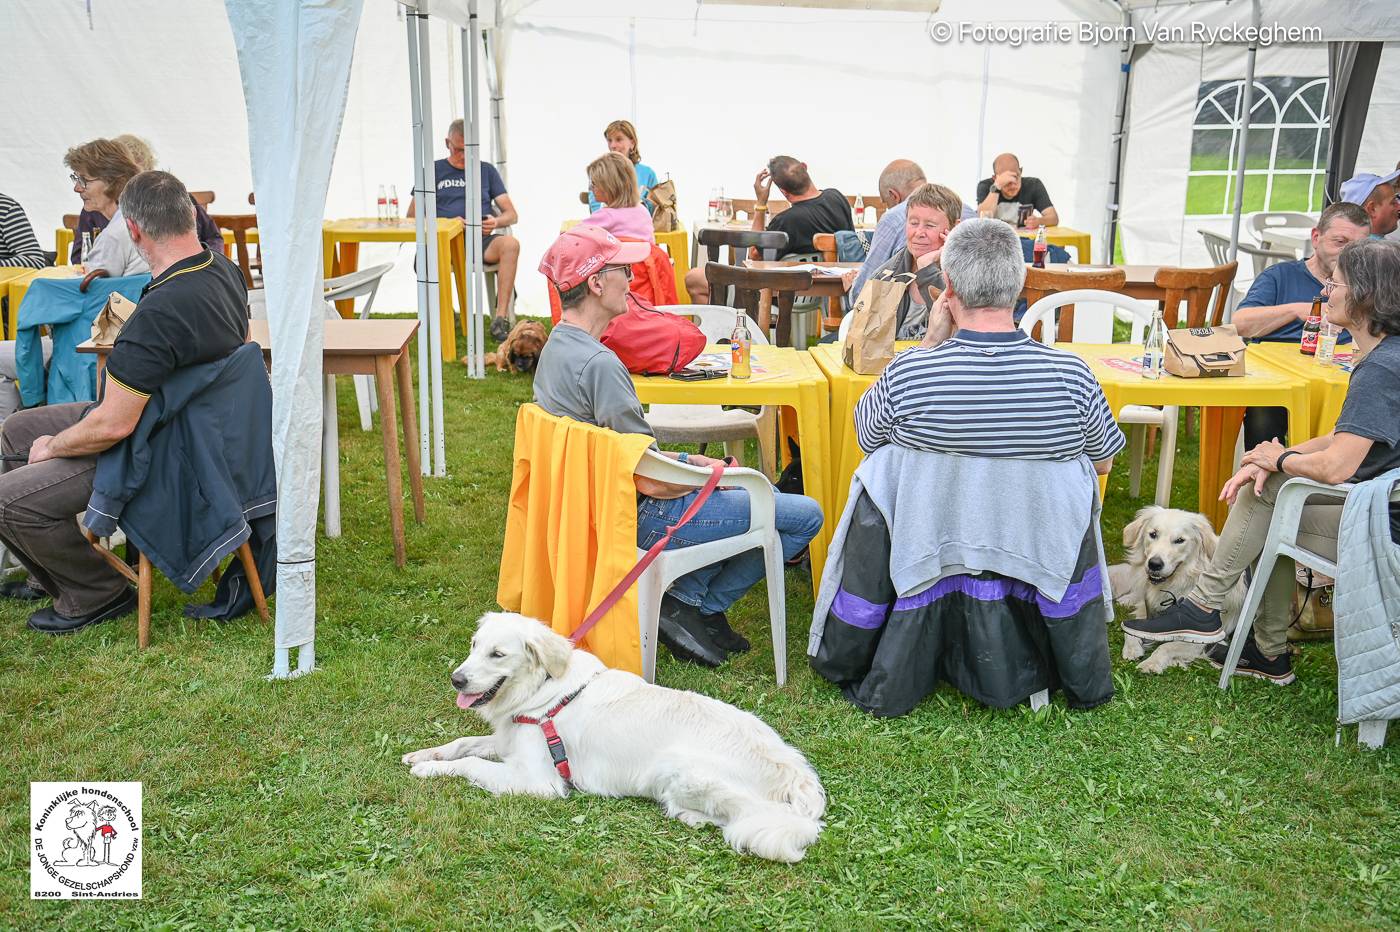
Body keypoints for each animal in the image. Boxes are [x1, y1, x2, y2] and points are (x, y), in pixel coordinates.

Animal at [400, 610, 823, 862]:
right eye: (475, 646)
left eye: (498, 655)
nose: (456, 679)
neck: (541, 691)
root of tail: (796, 774)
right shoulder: (508, 743)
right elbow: (463, 745)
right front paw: (423, 755)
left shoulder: (540, 781)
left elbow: (471, 763)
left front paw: (428, 772)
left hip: (682, 770)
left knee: (751, 818)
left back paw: (689, 814)